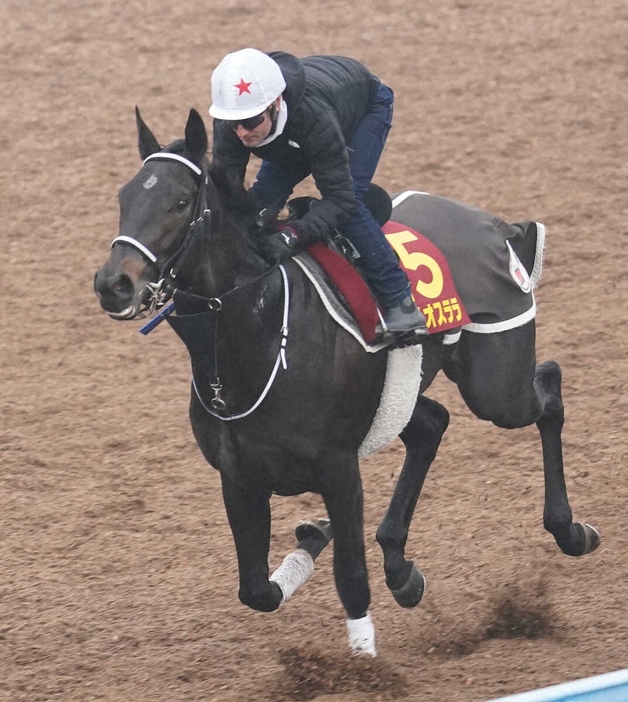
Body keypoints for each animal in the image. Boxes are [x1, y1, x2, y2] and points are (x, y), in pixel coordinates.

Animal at [93, 107, 600, 656]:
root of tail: (496, 224)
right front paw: (315, 538)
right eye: (124, 197)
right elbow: (256, 591)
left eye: (181, 202)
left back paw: (569, 530)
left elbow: (351, 578)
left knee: (548, 388)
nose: (112, 284)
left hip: (496, 386)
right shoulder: (239, 477)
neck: (261, 338)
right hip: (401, 393)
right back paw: (400, 568)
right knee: (432, 425)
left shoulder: (338, 469)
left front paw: (364, 661)